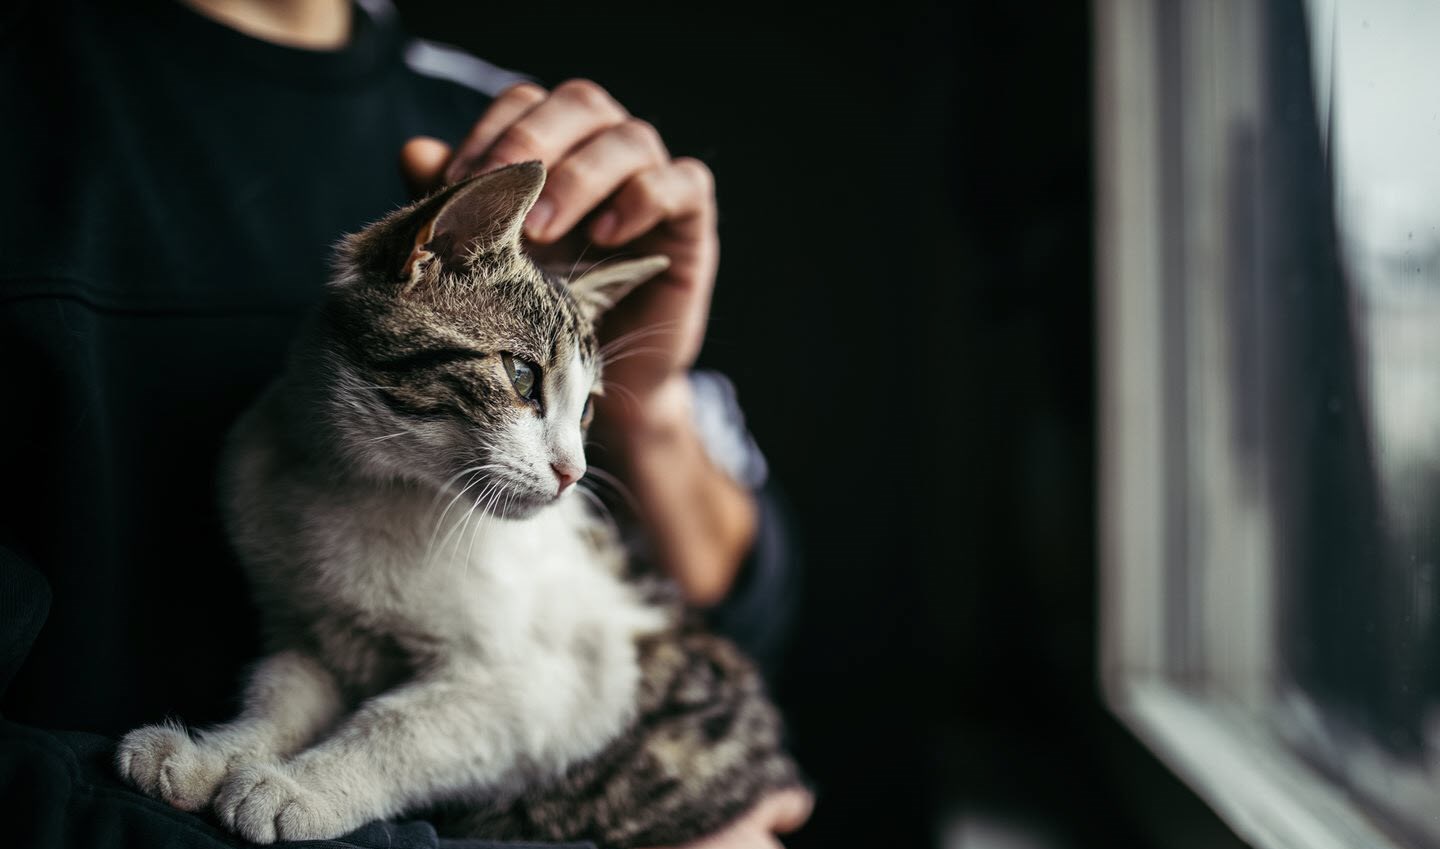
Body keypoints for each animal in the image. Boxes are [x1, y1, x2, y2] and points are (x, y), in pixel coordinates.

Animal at [115, 163, 800, 846]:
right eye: (521, 376)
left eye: (585, 410)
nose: (573, 472)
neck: (364, 491)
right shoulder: (307, 629)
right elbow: (279, 694)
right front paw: (211, 755)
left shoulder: (555, 688)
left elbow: (403, 726)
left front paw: (300, 788)